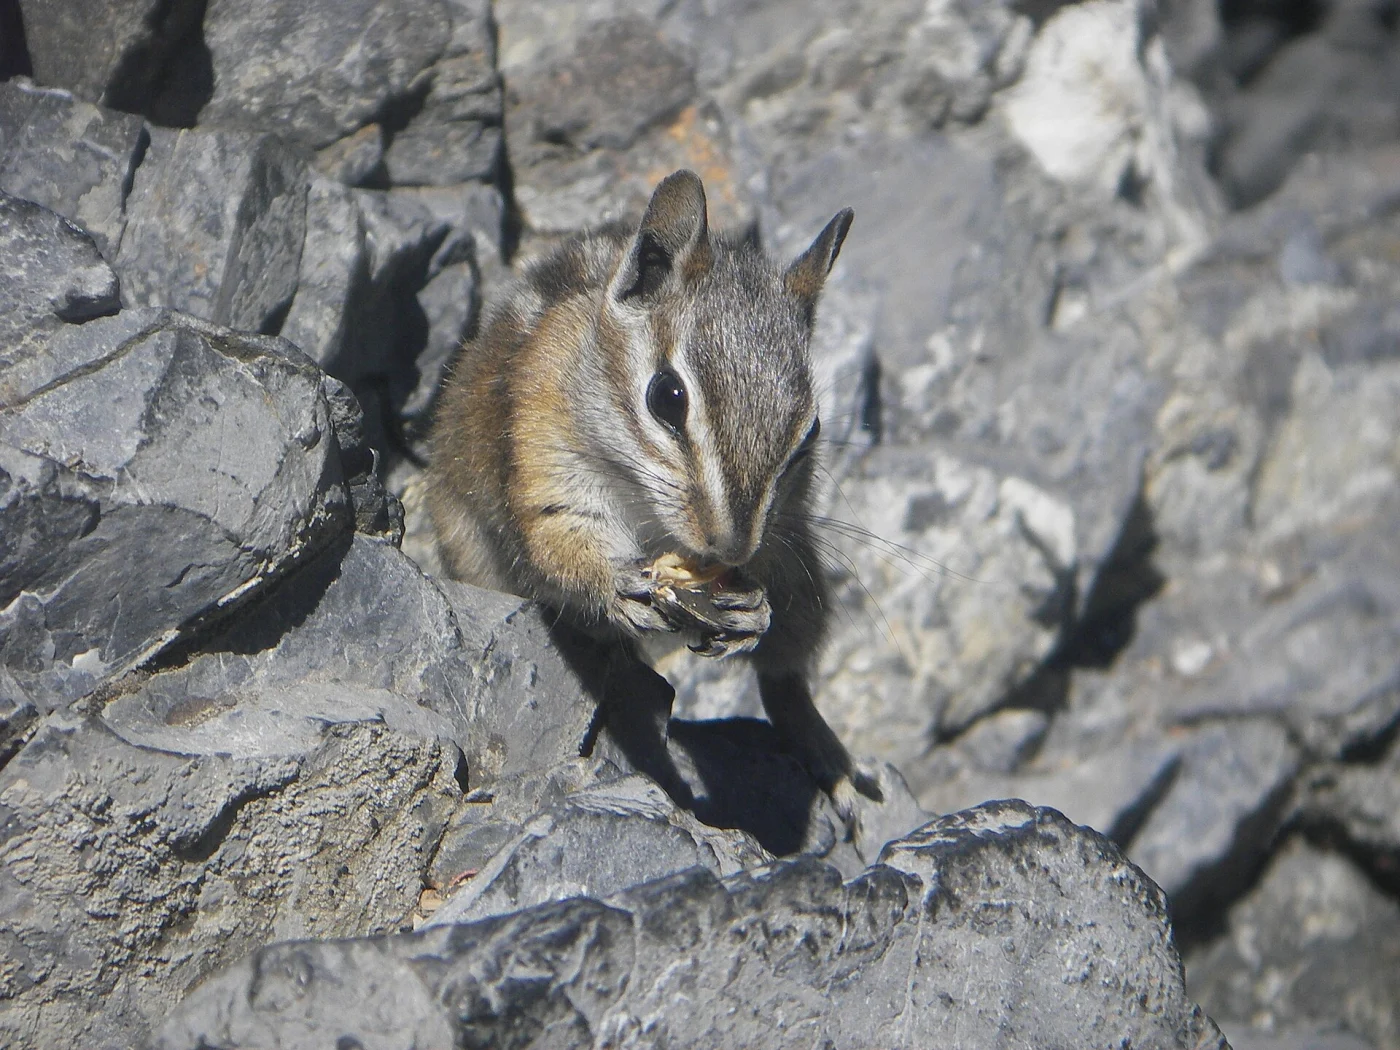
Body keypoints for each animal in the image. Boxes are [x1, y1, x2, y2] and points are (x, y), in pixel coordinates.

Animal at [426, 169, 880, 822]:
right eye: (667, 396)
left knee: (785, 681)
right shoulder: (544, 451)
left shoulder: (779, 535)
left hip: (804, 574)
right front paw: (617, 585)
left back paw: (830, 758)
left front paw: (752, 611)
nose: (729, 550)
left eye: (811, 432)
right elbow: (558, 536)